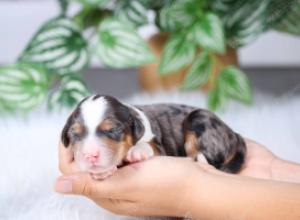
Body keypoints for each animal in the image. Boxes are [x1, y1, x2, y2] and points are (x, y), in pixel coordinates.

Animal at [61, 94, 246, 179]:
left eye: (112, 130)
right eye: (75, 134)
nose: (90, 155)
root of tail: (234, 134)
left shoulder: (158, 145)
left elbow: (148, 145)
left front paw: (136, 152)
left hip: (198, 119)